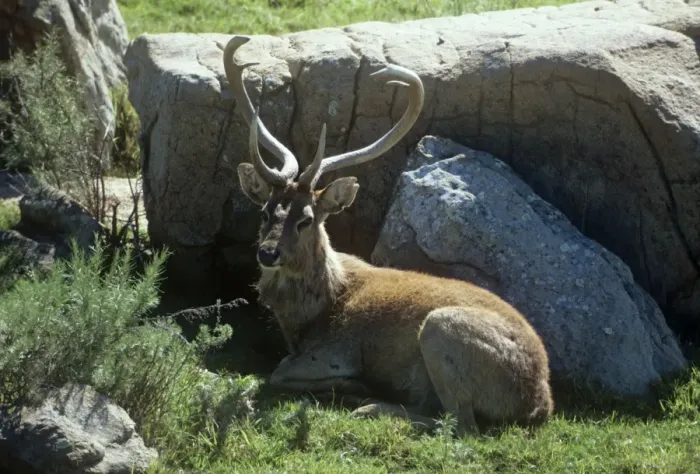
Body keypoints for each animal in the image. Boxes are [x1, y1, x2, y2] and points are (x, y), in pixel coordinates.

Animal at [221, 35, 554, 435]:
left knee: (461, 425)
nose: (268, 253)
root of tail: (540, 403)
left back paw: (372, 404)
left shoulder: (337, 351)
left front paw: (352, 386)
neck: (309, 317)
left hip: (442, 330)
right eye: (266, 212)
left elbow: (279, 371)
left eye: (306, 220)